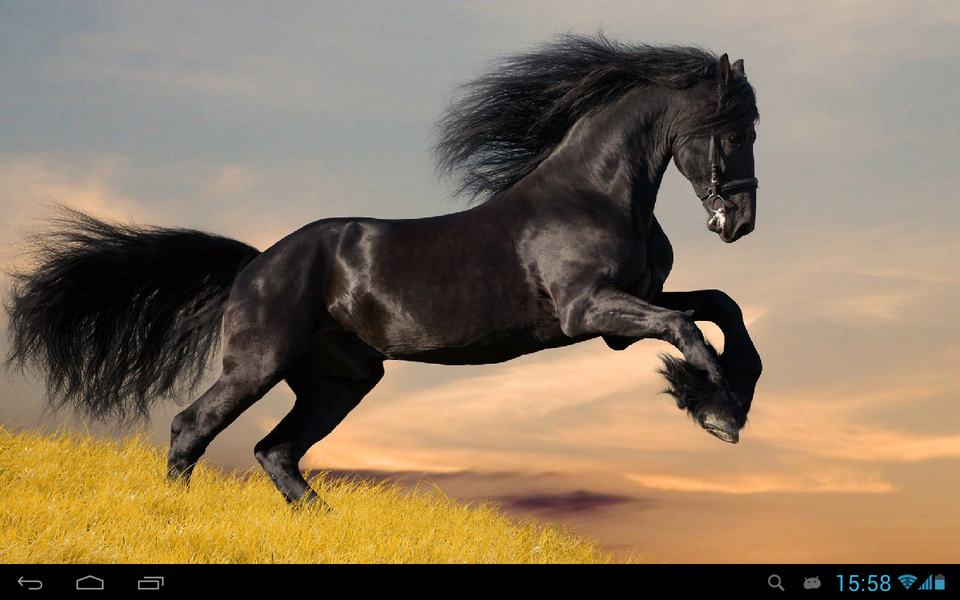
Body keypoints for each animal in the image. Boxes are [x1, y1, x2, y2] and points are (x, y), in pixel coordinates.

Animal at [6, 35, 762, 507]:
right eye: (732, 129)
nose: (739, 222)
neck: (593, 193)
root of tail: (255, 264)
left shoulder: (627, 309)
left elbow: (720, 307)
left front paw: (728, 396)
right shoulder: (590, 311)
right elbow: (687, 329)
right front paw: (717, 411)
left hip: (339, 380)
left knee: (276, 451)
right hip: (258, 363)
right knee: (193, 428)